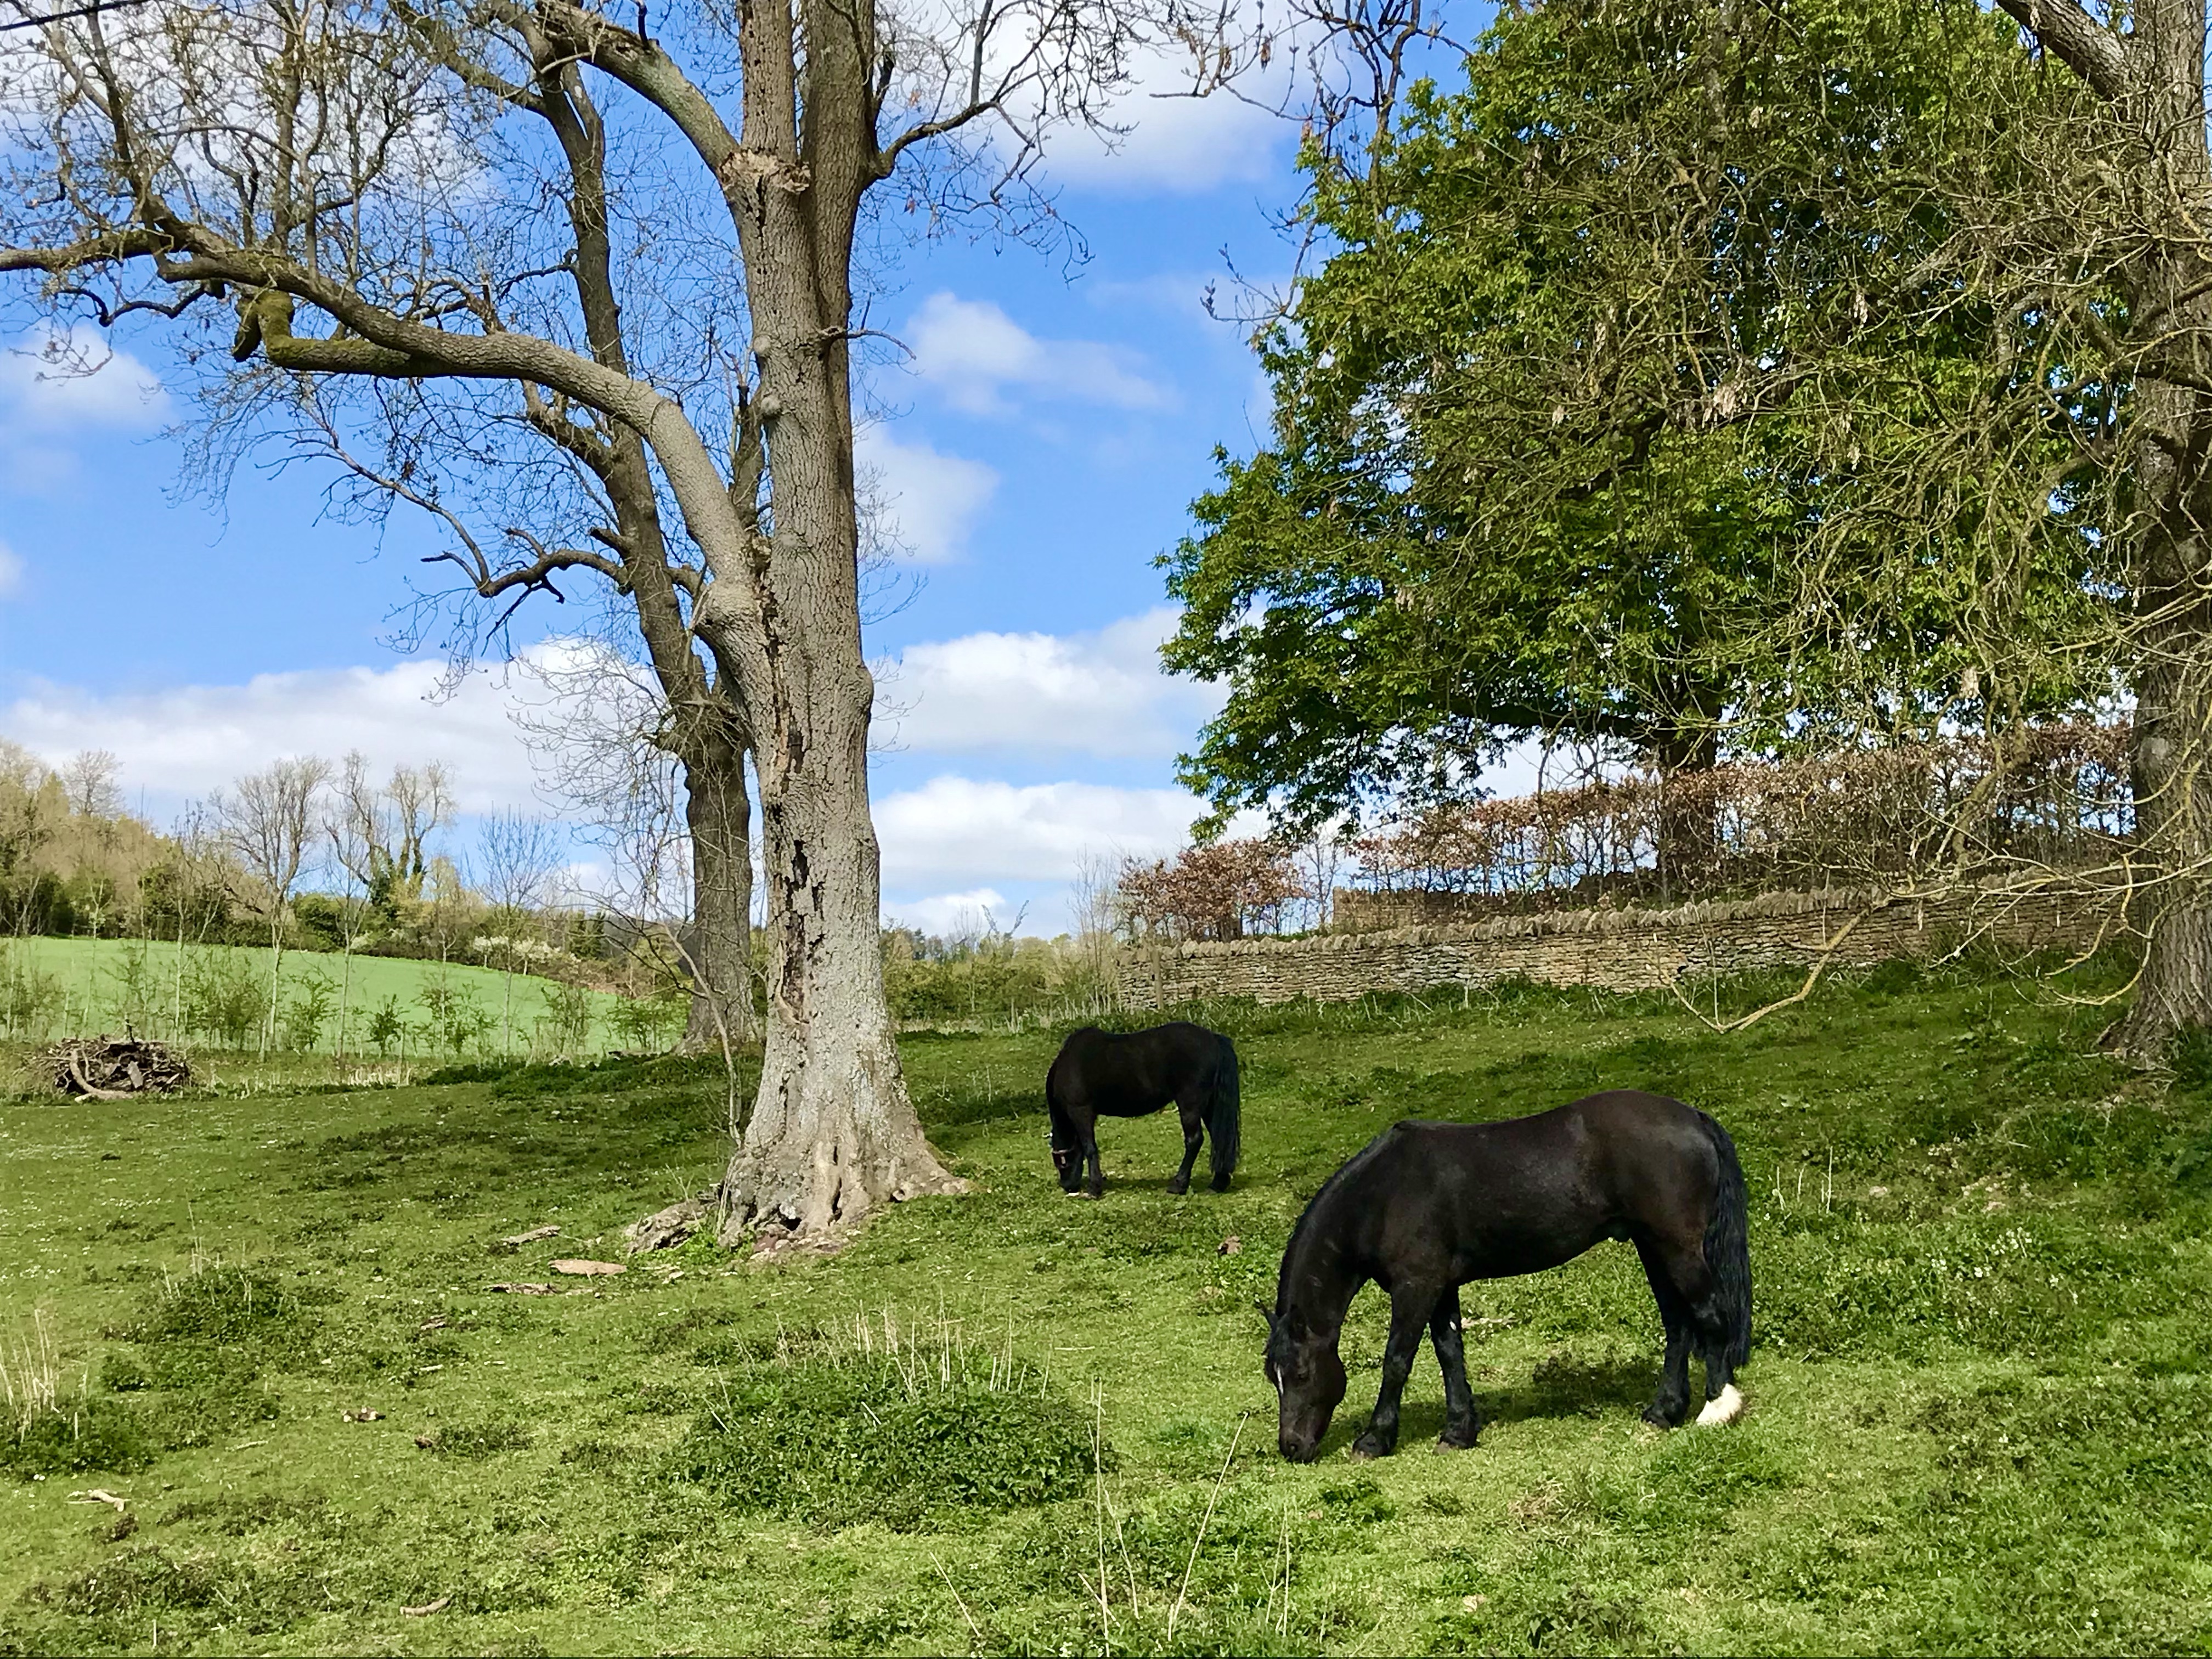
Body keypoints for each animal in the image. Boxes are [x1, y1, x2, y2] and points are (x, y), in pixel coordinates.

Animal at [1045, 1022, 1241, 1199]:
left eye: (1061, 1163)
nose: (1067, 1185)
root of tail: (1214, 1039)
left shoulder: (1081, 1111)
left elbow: (1090, 1148)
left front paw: (1094, 1189)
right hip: (1210, 1106)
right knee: (1219, 1138)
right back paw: (1218, 1184)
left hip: (1190, 1104)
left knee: (1194, 1141)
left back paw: (1178, 1185)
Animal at [1260, 1089, 1751, 1461]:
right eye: (1272, 1376)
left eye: (1300, 1374)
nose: (1292, 1447)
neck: (1383, 1193)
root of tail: (1693, 1118)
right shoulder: (1441, 1288)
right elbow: (1450, 1354)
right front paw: (1458, 1432)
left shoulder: (1416, 1288)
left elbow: (1397, 1360)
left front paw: (1375, 1439)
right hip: (1652, 1248)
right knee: (1678, 1325)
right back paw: (1664, 1411)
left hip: (1678, 1249)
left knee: (1709, 1316)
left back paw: (1717, 1408)